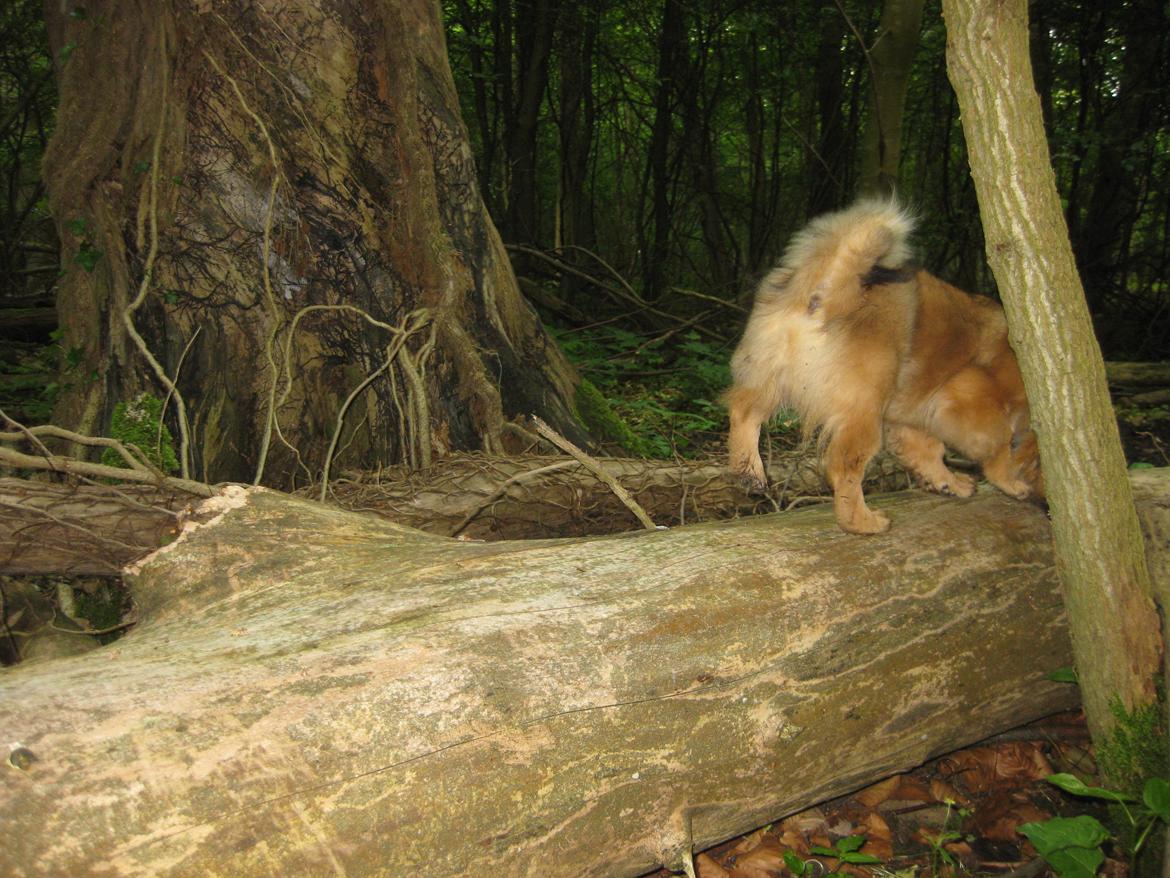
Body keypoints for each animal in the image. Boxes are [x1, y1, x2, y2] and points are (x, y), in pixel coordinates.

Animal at [725, 201, 1048, 536]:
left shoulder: (909, 417)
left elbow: (930, 451)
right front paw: (1010, 482)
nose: (1049, 508)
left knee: (743, 412)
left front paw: (947, 482)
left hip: (767, 376)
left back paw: (749, 470)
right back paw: (861, 522)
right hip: (863, 408)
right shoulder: (970, 400)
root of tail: (823, 292)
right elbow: (998, 448)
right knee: (842, 467)